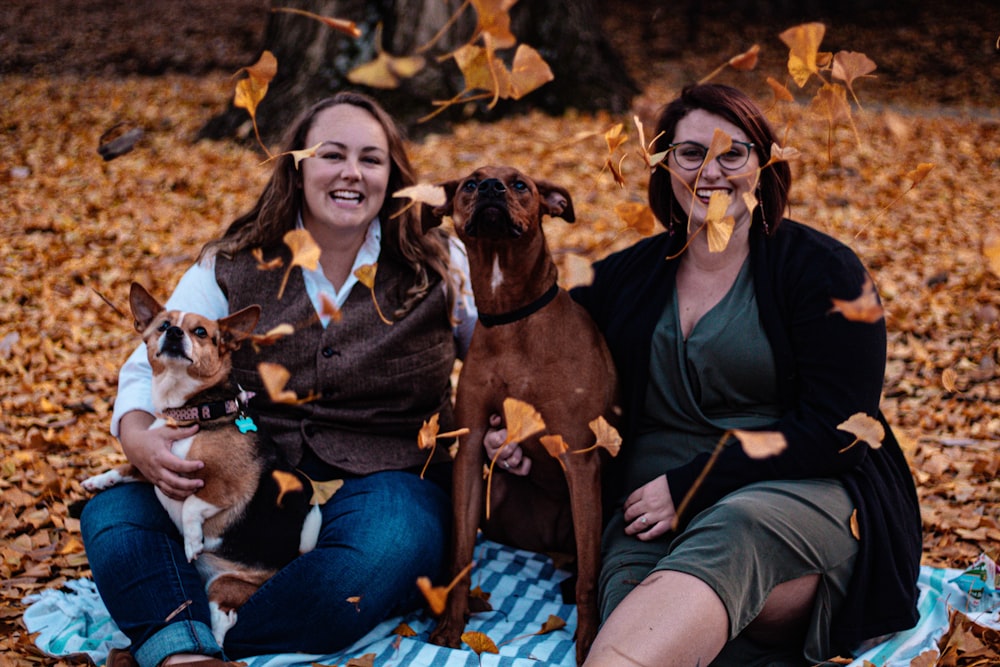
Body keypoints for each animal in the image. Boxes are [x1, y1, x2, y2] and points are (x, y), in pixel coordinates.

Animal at [85, 284, 324, 648]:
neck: (193, 411)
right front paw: (102, 479)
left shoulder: (227, 487)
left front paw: (193, 540)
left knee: (224, 621)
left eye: (201, 332)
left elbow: (192, 505)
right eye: (162, 325)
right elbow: (131, 467)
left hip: (224, 587)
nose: (174, 332)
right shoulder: (157, 461)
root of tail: (287, 559)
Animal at [422, 166, 616, 664]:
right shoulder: (472, 448)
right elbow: (461, 553)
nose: (491, 188)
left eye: (521, 185)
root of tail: (549, 544)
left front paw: (587, 644)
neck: (512, 320)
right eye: (470, 185)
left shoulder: (579, 456)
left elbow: (590, 581)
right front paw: (450, 628)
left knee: (583, 567)